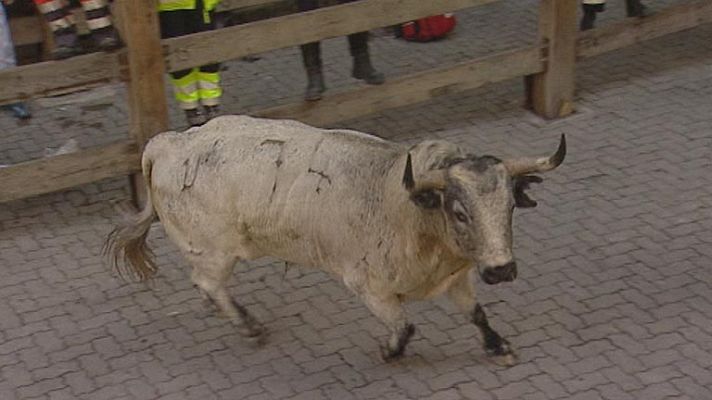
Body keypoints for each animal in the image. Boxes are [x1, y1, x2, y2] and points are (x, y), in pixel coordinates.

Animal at [104, 115, 568, 362]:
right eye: (459, 212)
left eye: (509, 206)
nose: (502, 269)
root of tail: (169, 143)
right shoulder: (369, 287)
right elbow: (405, 325)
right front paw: (390, 352)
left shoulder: (457, 278)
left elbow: (477, 314)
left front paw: (497, 345)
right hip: (213, 251)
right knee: (207, 282)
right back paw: (248, 324)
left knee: (206, 287)